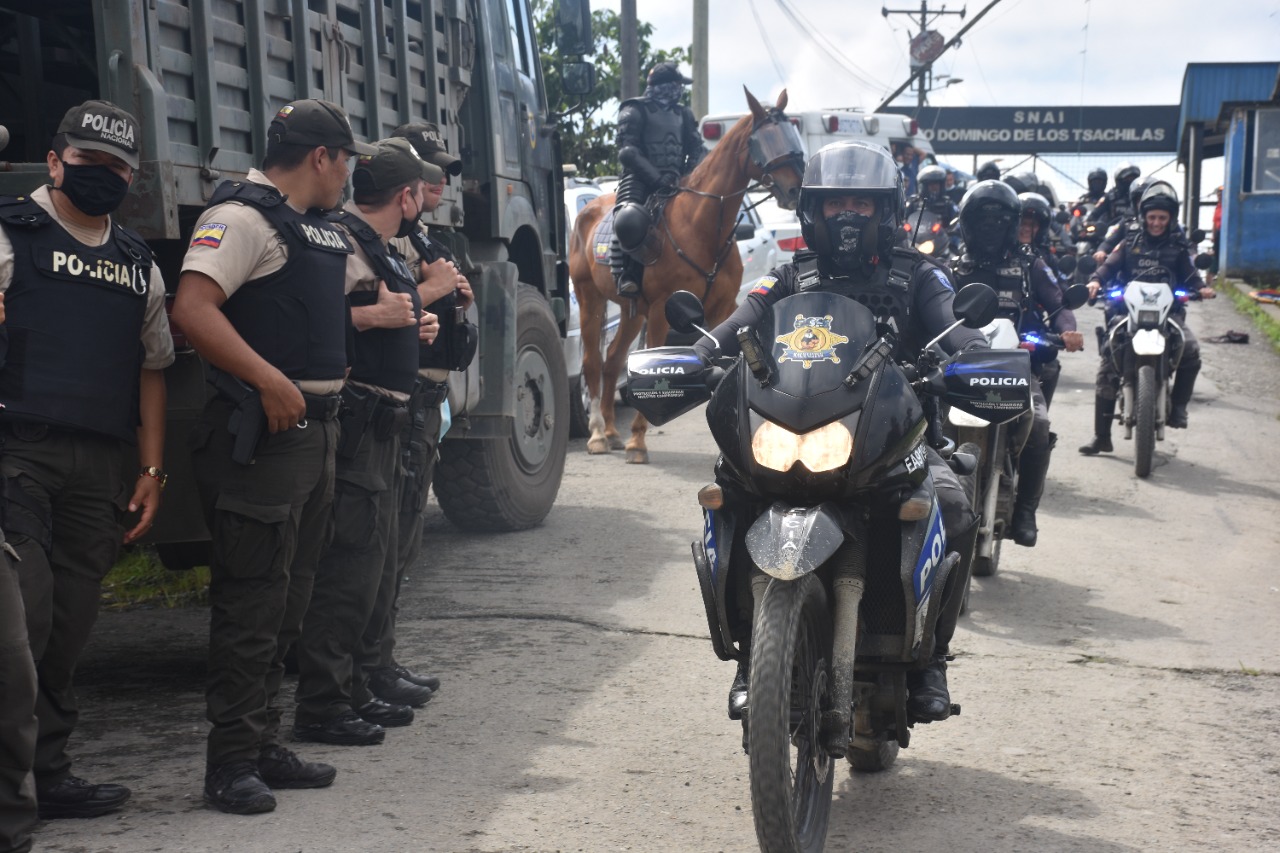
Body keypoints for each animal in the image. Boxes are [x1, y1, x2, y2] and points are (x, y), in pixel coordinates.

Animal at [568, 89, 798, 461]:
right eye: (764, 138)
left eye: (790, 132)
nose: (795, 190)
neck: (700, 227)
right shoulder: (663, 311)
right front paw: (638, 441)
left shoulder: (721, 308)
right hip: (591, 299)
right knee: (592, 363)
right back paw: (599, 435)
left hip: (632, 312)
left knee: (612, 361)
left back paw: (613, 432)